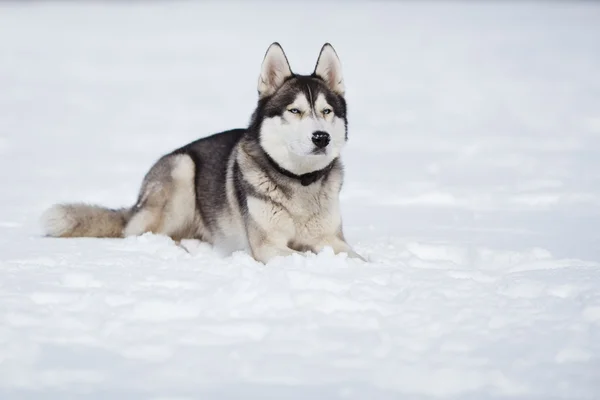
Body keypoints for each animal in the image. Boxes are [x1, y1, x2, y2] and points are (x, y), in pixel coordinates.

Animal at [42, 43, 364, 262]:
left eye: (326, 111)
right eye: (295, 111)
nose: (321, 137)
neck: (300, 181)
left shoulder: (330, 238)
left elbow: (356, 257)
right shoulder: (268, 246)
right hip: (182, 170)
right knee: (145, 233)